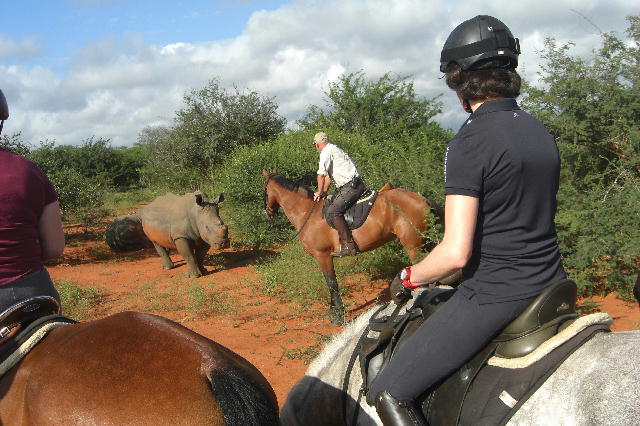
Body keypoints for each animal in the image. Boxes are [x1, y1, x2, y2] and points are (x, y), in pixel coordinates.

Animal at [262, 170, 442, 322]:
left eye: (264, 190)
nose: (267, 213)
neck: (307, 213)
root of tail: (422, 199)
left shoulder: (323, 256)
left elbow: (331, 283)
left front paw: (337, 314)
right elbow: (331, 283)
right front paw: (333, 310)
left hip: (413, 247)